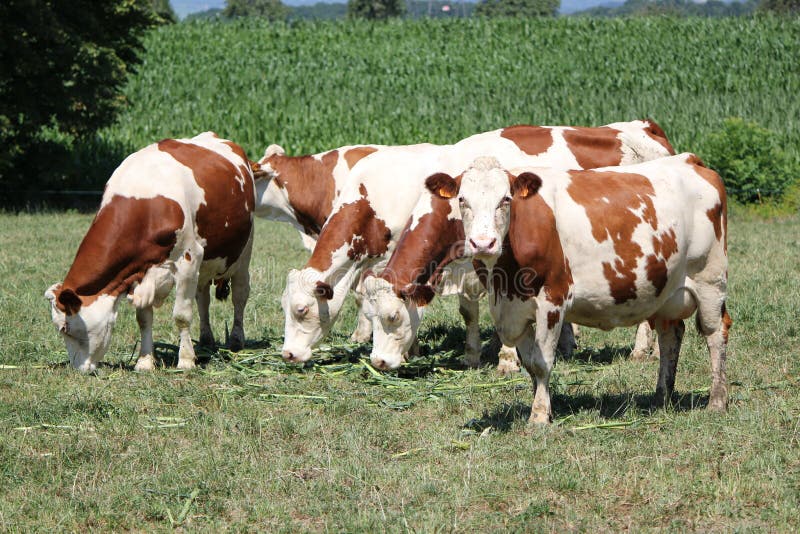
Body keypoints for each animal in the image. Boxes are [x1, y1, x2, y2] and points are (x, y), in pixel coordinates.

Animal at [45, 132, 256, 373]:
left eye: (65, 329)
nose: (78, 370)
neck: (145, 201)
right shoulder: (140, 269)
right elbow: (144, 318)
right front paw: (145, 361)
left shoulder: (189, 259)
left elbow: (182, 315)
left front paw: (185, 361)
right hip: (206, 264)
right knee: (203, 298)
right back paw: (205, 341)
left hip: (244, 251)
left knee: (240, 294)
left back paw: (236, 341)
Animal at [280, 120, 676, 365]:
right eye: (284, 309)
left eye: (302, 310)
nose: (287, 354)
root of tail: (644, 127)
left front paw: (502, 359)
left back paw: (644, 349)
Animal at [427, 154, 729, 424]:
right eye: (462, 200)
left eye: (506, 199)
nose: (483, 243)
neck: (504, 280)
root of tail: (690, 160)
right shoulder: (511, 309)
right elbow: (529, 363)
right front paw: (543, 406)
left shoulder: (552, 299)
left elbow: (542, 362)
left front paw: (539, 417)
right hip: (666, 291)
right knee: (670, 337)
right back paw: (661, 397)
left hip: (710, 280)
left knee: (716, 333)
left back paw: (716, 401)